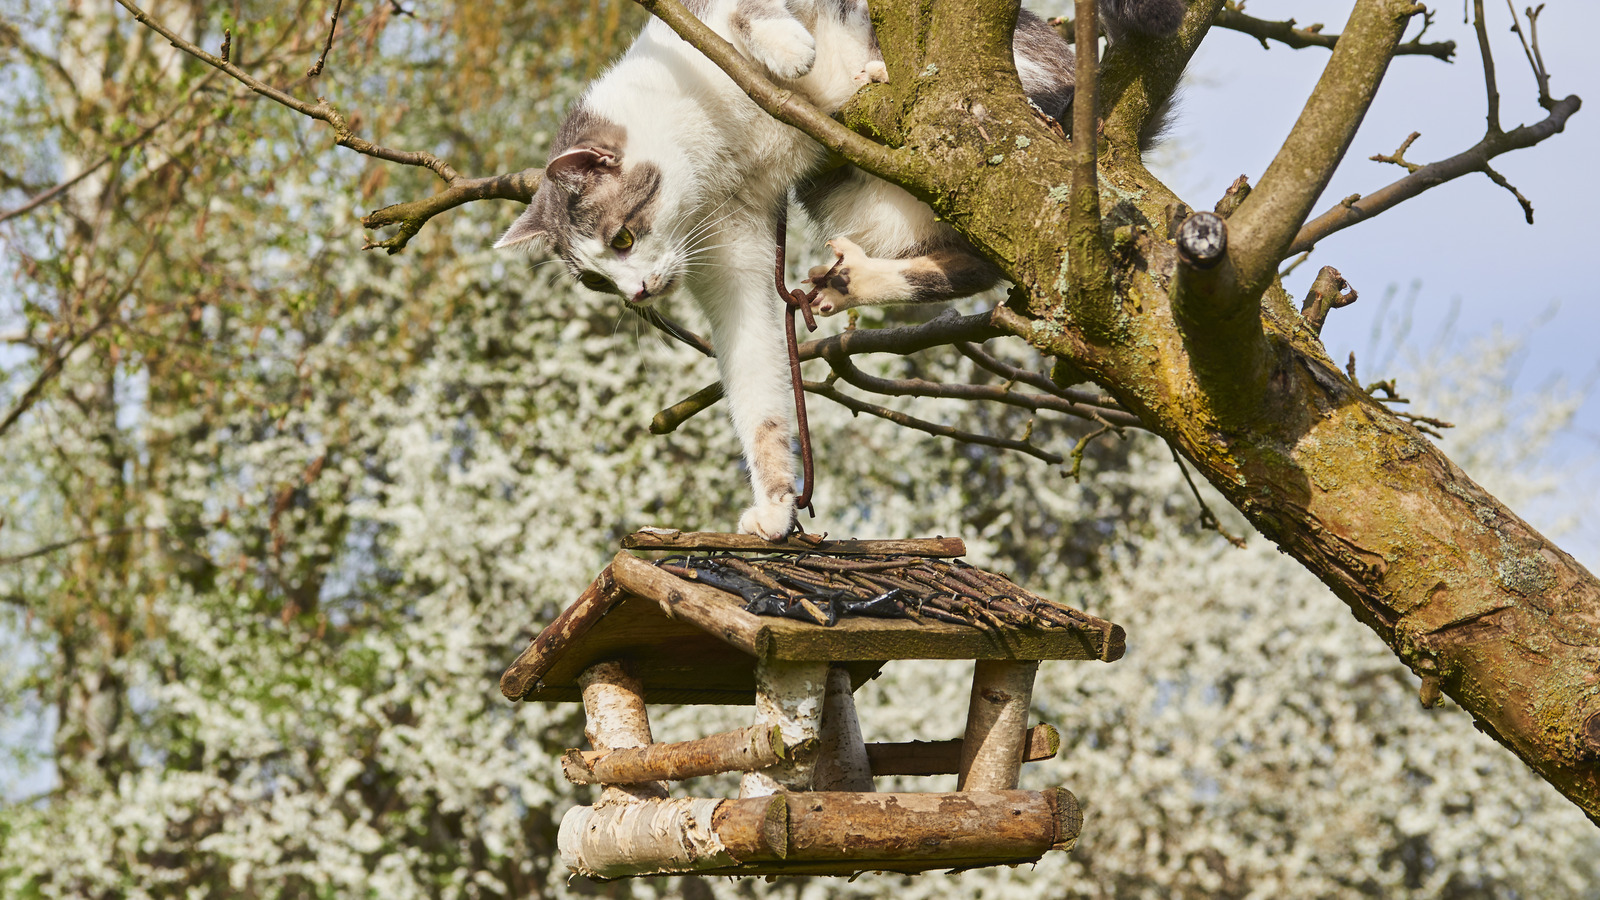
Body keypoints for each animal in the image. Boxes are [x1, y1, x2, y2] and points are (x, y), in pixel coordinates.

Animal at [499, 0, 1190, 534]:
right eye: (596, 281)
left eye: (621, 238)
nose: (638, 292)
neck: (716, 155)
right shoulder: (734, 249)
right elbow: (756, 379)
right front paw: (775, 502)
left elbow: (747, 12)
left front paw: (791, 52)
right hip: (890, 201)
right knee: (982, 262)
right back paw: (853, 279)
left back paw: (889, 74)